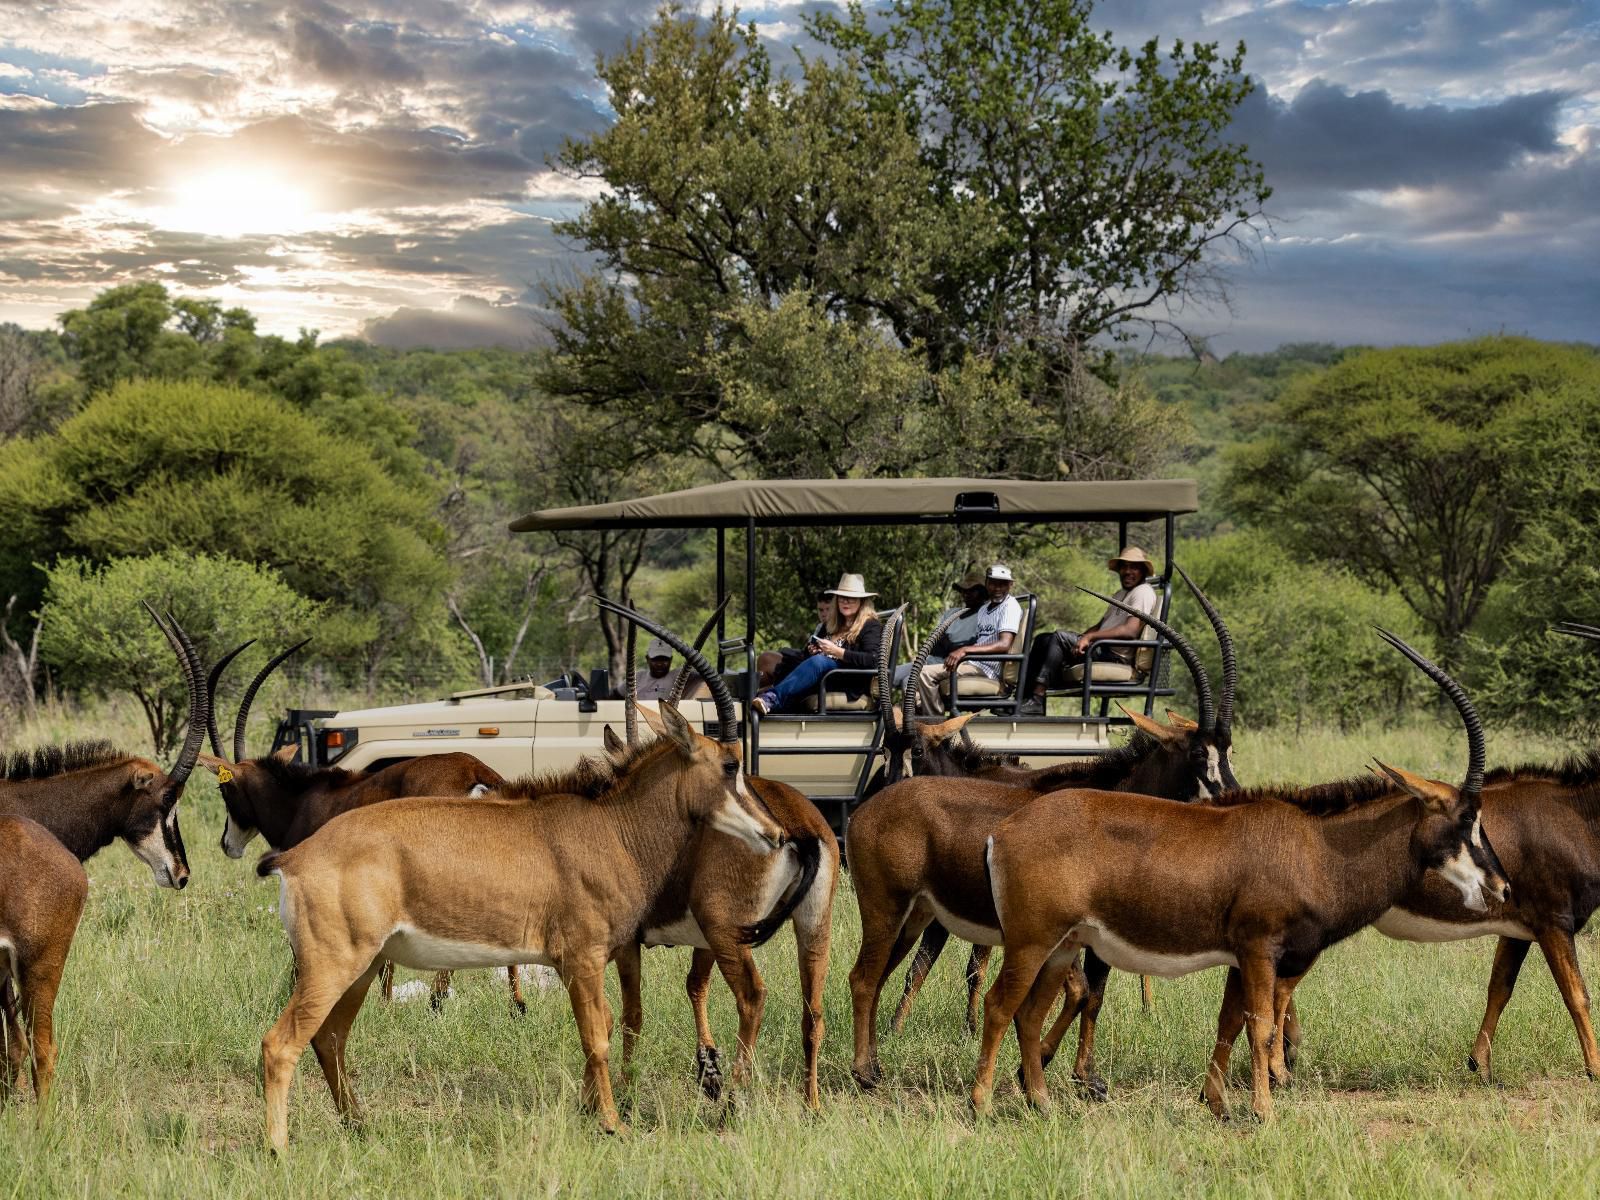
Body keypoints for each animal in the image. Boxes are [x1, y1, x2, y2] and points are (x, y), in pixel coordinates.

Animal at [252, 598, 784, 1152]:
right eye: (730, 765)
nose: (776, 833)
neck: (610, 825)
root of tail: (297, 857)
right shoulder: (583, 958)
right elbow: (597, 1036)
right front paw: (612, 1122)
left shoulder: (592, 960)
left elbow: (603, 1027)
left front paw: (591, 1110)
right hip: (333, 963)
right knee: (280, 1043)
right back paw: (279, 1148)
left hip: (363, 965)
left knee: (329, 1037)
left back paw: (359, 1124)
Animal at [851, 579, 1235, 1094]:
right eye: (1197, 753)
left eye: (1227, 749)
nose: (1233, 795)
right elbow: (1082, 992)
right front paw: (1066, 1073)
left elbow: (1086, 993)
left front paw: (1070, 1072)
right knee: (881, 971)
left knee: (888, 970)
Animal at [966, 624, 1504, 1126]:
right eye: (1465, 819)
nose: (1500, 886)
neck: (1316, 845)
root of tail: (1003, 832)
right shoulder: (1260, 950)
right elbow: (1260, 1026)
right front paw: (1263, 1111)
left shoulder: (1238, 959)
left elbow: (1228, 1022)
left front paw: (1218, 1103)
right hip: (1032, 941)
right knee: (999, 1004)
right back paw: (981, 1105)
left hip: (1063, 946)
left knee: (1030, 1013)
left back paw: (1041, 1102)